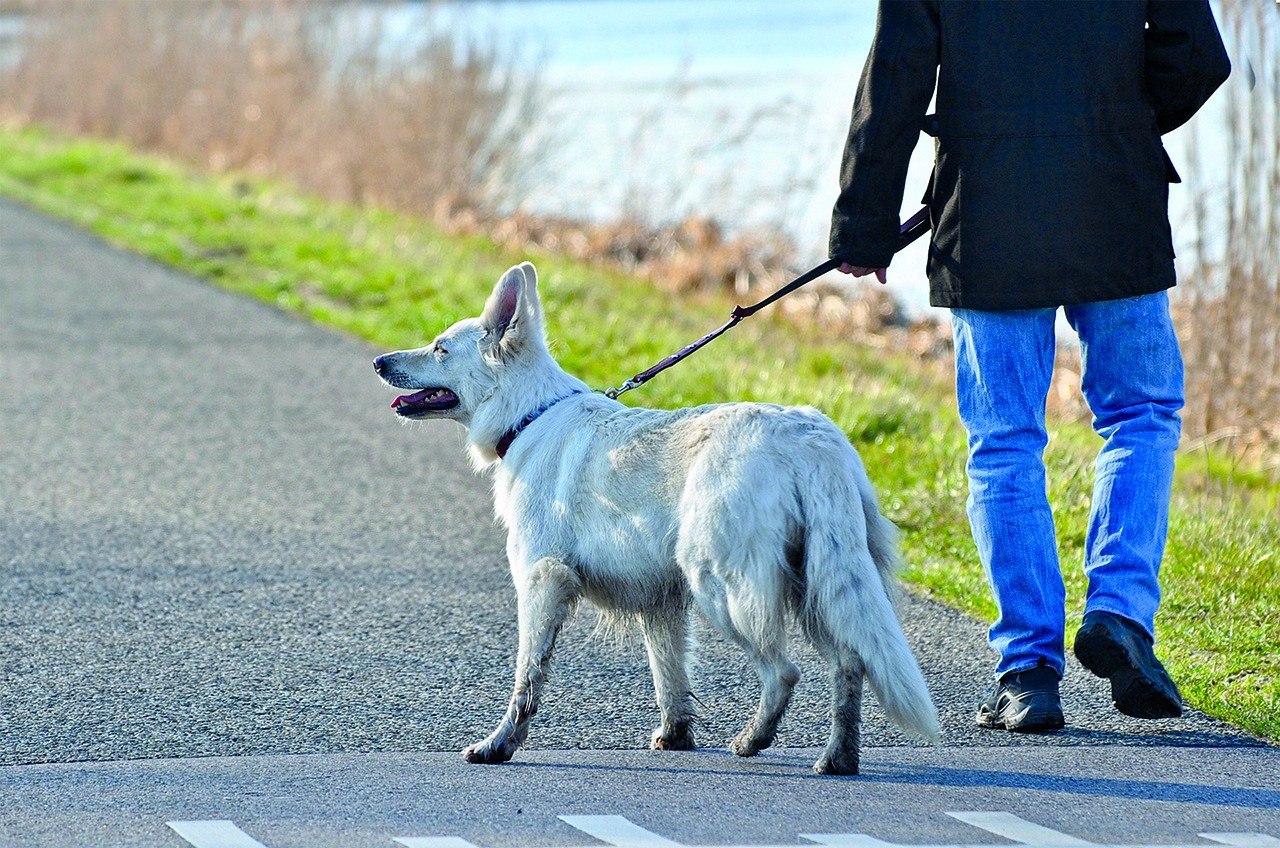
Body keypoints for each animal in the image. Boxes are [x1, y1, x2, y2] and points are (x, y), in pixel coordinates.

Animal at [373, 262, 936, 773]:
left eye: (440, 348)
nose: (379, 361)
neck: (529, 415)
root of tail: (810, 439)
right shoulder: (660, 602)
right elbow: (670, 678)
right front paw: (676, 737)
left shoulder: (541, 581)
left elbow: (527, 676)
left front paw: (500, 745)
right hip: (817, 585)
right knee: (850, 663)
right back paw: (838, 757)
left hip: (723, 585)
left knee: (784, 673)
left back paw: (753, 740)